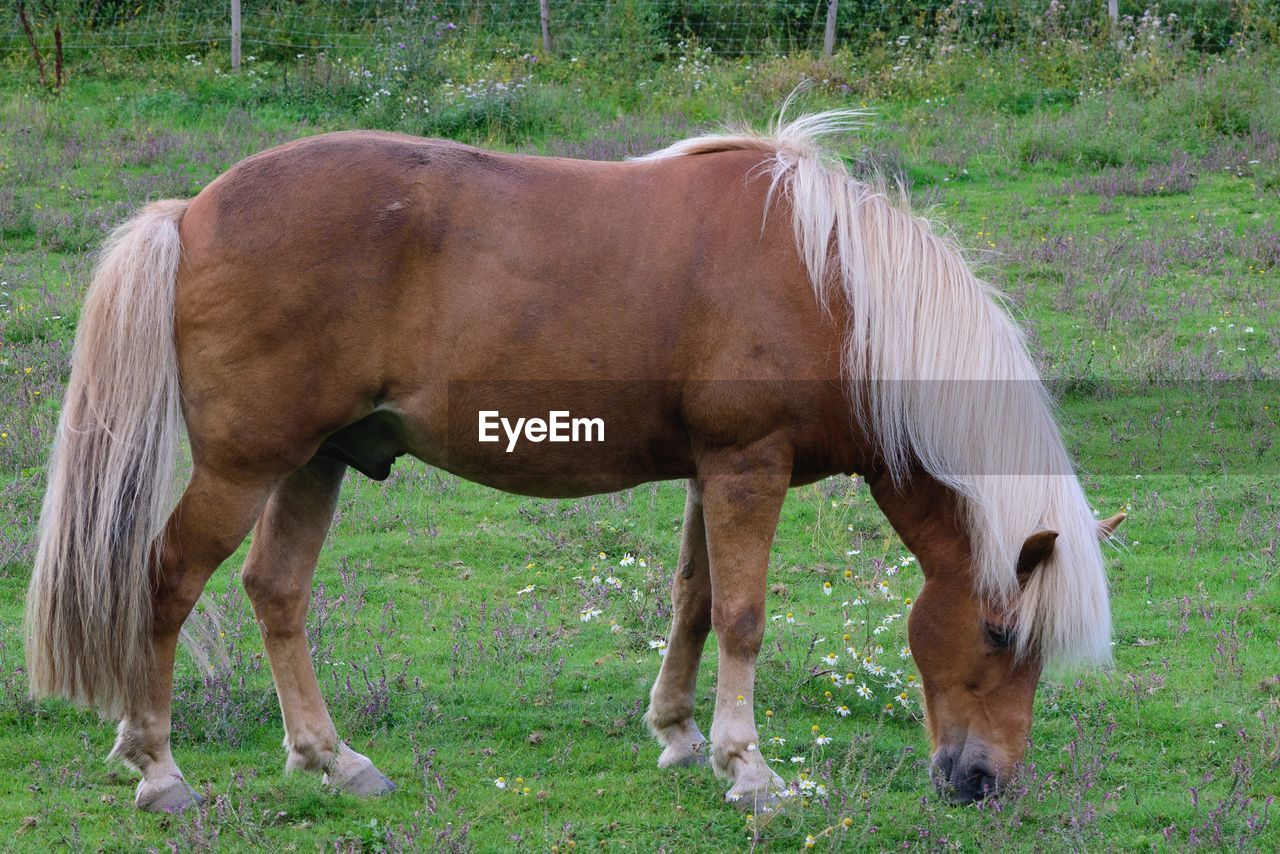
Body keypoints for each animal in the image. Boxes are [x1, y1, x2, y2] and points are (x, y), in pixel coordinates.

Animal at [20, 110, 1121, 814]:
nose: (982, 781)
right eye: (996, 631)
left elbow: (692, 598)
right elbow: (743, 614)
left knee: (275, 591)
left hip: (314, 462)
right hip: (246, 466)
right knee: (165, 583)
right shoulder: (747, 466)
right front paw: (749, 770)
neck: (834, 288)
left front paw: (678, 735)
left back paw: (332, 760)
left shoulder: (711, 470)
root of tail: (190, 210)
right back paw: (158, 768)